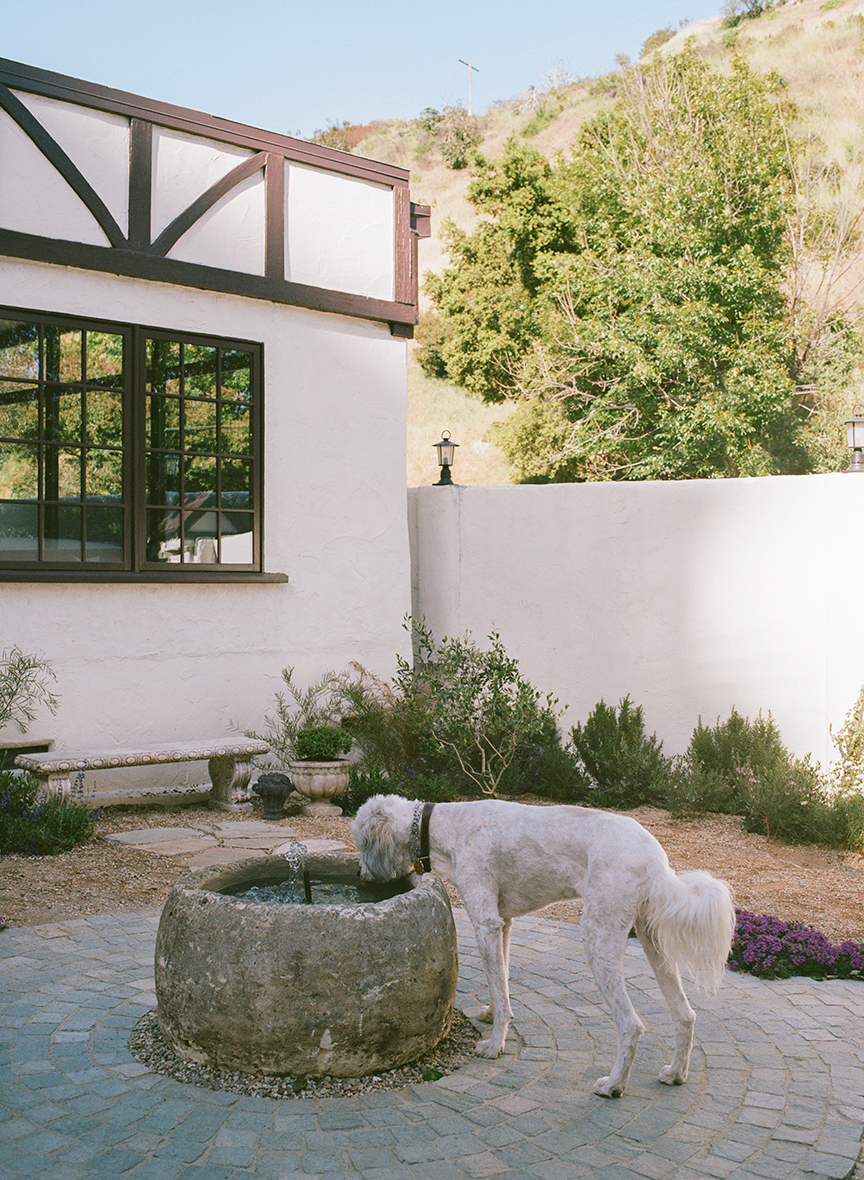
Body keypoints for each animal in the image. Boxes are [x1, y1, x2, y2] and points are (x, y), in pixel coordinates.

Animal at [351, 797, 736, 1099]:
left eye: (360, 841)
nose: (361, 877)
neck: (442, 825)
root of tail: (654, 856)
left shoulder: (486, 923)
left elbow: (498, 985)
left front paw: (494, 1044)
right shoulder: (504, 923)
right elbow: (501, 982)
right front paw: (493, 1014)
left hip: (599, 937)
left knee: (631, 1024)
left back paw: (613, 1085)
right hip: (652, 941)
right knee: (685, 1015)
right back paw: (675, 1073)